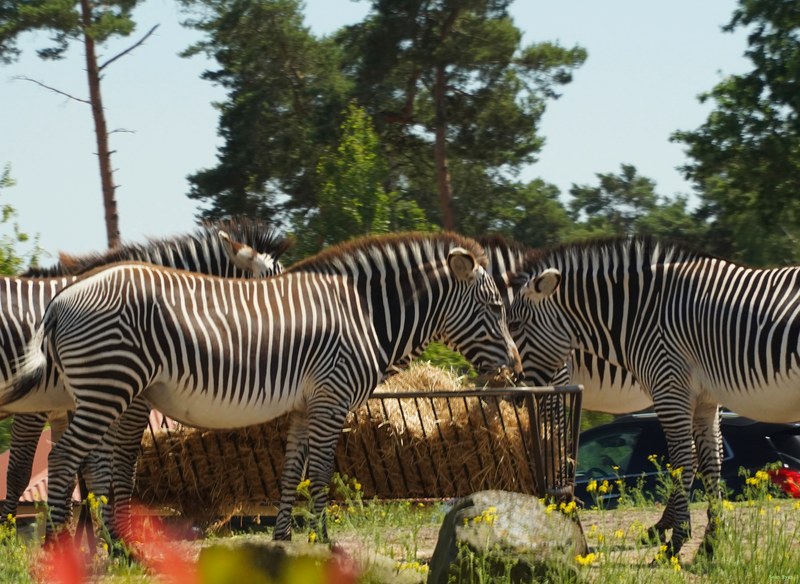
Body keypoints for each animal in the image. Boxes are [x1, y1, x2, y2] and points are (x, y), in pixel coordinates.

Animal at [506, 235, 800, 559]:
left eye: (514, 325)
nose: (514, 390)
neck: (641, 315)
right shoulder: (705, 401)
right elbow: (711, 464)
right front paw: (709, 544)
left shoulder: (670, 389)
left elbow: (682, 461)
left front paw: (676, 542)